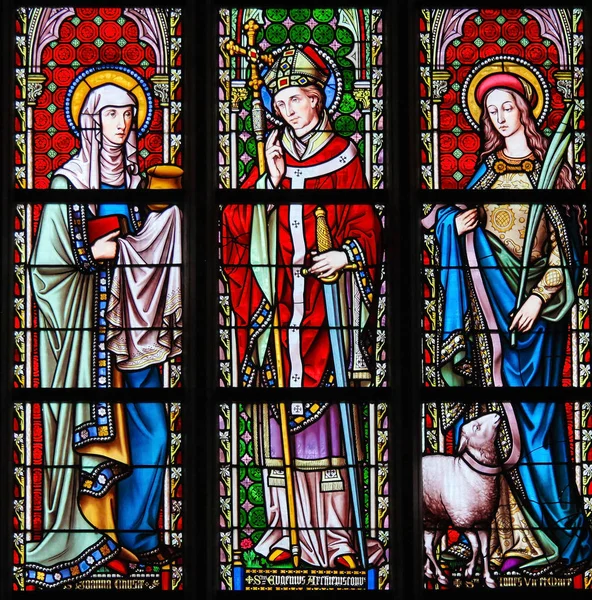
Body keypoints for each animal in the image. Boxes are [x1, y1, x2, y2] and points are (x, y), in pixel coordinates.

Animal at [424, 410, 502, 588]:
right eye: (476, 427)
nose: (496, 415)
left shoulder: (484, 523)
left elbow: (484, 550)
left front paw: (488, 578)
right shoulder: (463, 523)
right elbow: (476, 546)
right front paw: (469, 571)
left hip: (441, 518)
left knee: (432, 544)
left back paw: (429, 572)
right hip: (429, 517)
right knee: (429, 547)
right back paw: (441, 576)